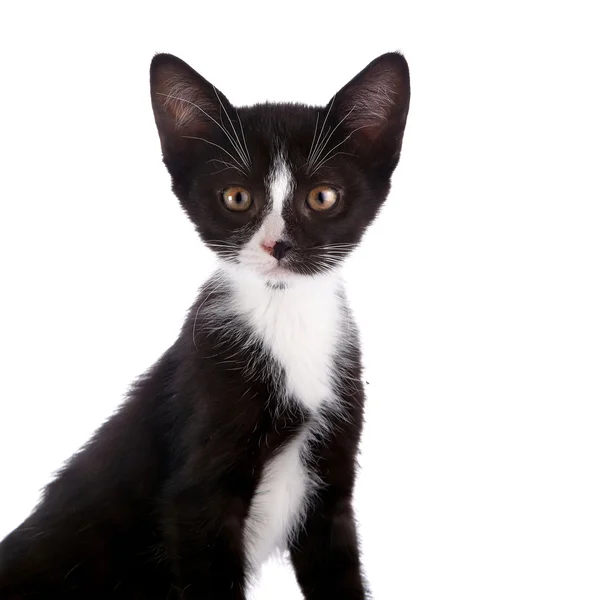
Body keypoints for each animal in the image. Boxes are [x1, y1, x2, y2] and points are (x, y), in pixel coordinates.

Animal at [0, 52, 410, 600]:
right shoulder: (196, 496)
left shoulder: (332, 484)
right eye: (236, 197)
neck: (284, 318)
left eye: (323, 196)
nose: (276, 246)